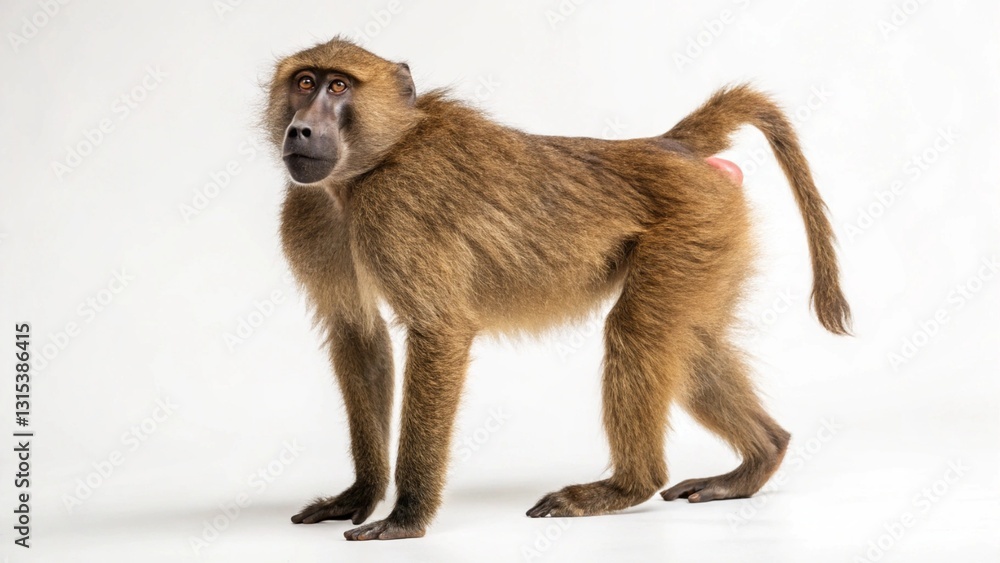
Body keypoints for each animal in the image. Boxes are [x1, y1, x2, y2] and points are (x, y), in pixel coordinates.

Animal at [263, 37, 851, 541]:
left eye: (339, 87)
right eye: (305, 82)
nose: (300, 131)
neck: (367, 169)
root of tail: (666, 145)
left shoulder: (397, 208)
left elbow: (439, 332)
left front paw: (406, 516)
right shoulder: (314, 214)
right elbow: (359, 337)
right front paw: (361, 494)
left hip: (696, 223)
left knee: (637, 332)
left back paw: (626, 486)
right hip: (712, 239)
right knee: (690, 342)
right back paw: (757, 460)